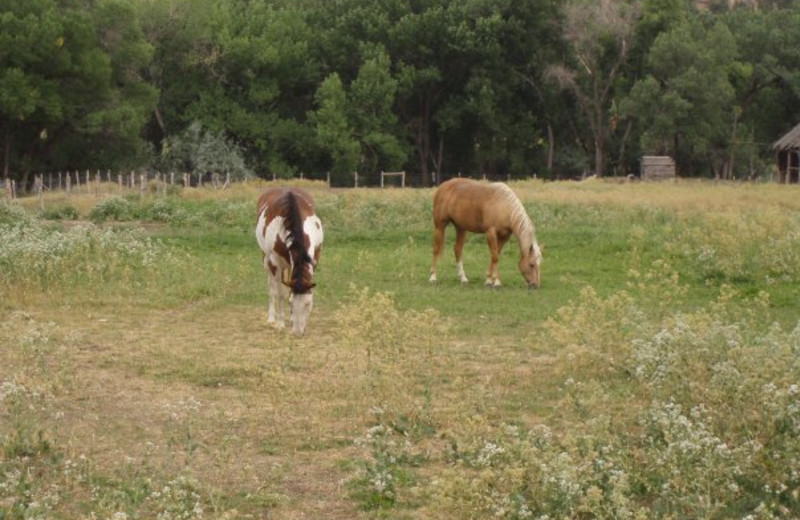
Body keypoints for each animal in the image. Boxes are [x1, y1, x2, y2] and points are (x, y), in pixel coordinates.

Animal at [253, 187, 322, 334]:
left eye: (308, 304)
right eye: (290, 303)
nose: (298, 332)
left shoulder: (315, 259)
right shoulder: (274, 263)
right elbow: (280, 293)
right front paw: (280, 323)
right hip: (266, 259)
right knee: (272, 287)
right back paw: (271, 318)